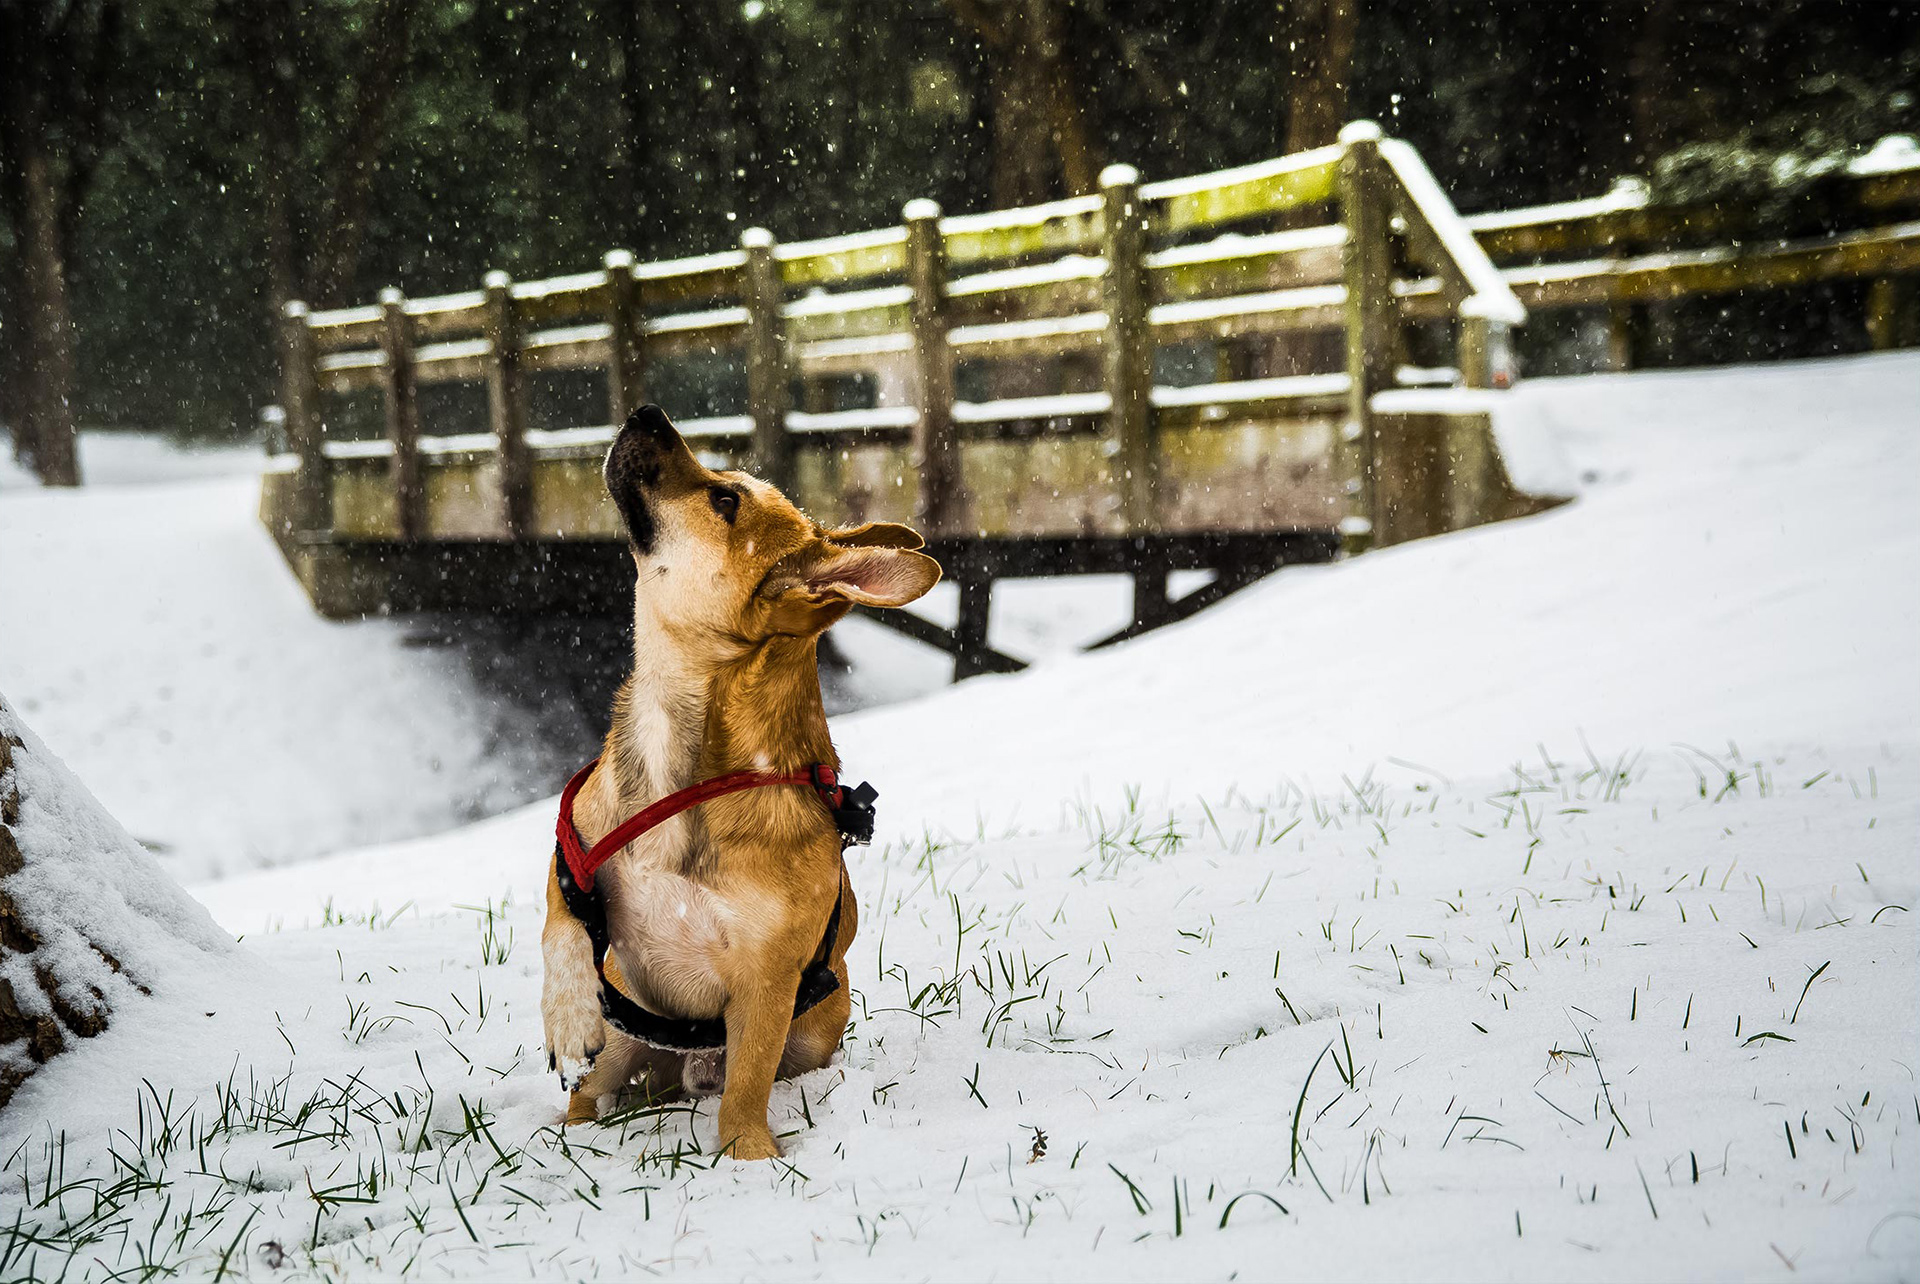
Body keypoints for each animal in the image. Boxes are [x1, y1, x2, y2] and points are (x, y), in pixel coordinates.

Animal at [541, 405, 940, 1160]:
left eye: (725, 501)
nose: (647, 412)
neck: (684, 757)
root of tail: (681, 1068)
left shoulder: (766, 982)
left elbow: (746, 1088)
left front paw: (749, 1159)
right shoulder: (573, 841)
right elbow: (560, 921)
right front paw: (566, 1012)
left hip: (811, 1033)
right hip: (623, 1043)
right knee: (591, 1091)